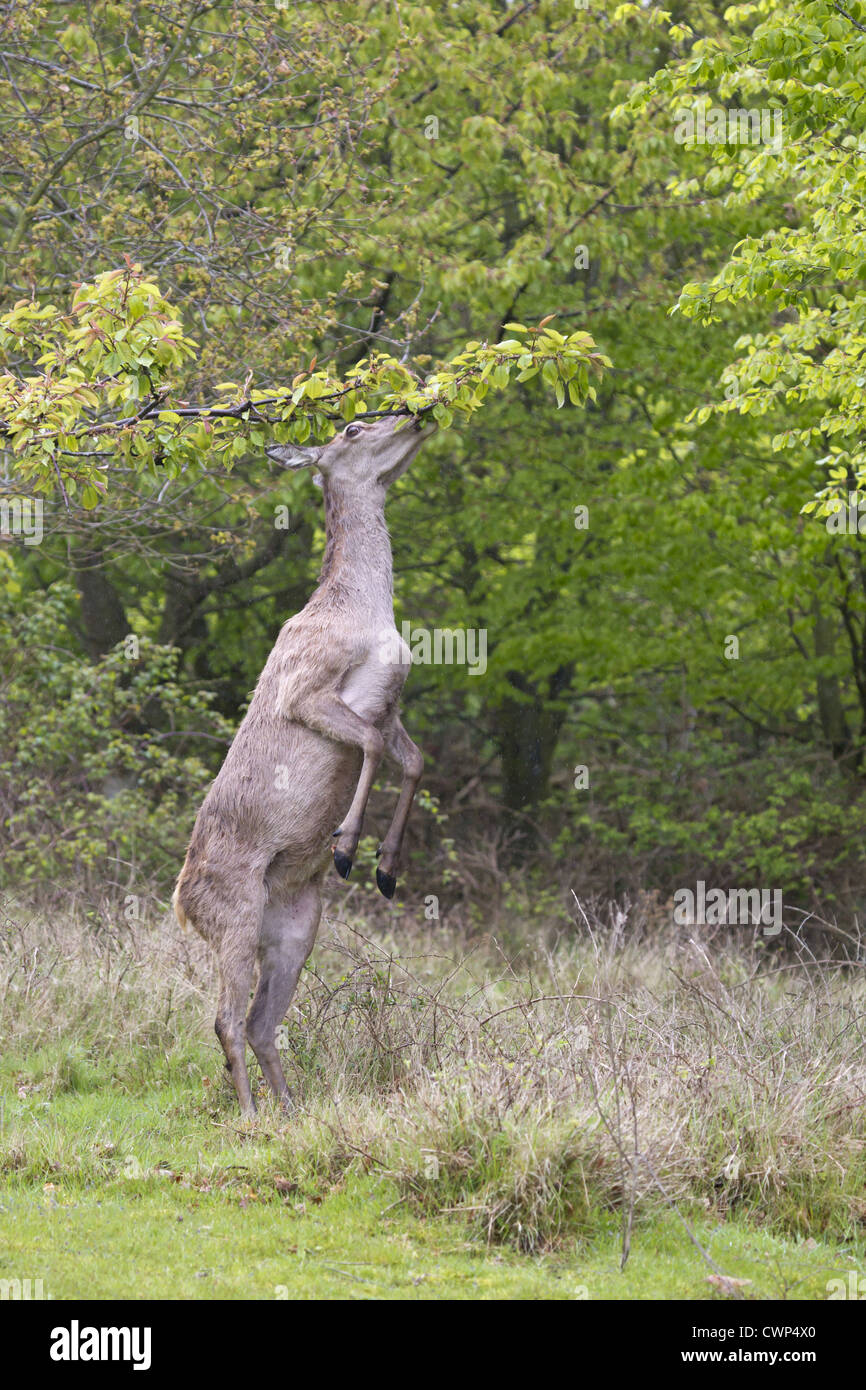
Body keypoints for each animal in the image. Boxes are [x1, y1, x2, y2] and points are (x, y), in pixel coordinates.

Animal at [170, 411, 433, 1117]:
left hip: (295, 927)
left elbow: (415, 760)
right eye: (352, 427)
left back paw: (290, 1108)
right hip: (232, 914)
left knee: (263, 1020)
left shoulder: (393, 703)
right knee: (225, 1019)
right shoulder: (305, 688)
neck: (364, 611)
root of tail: (179, 903)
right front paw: (345, 846)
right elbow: (369, 746)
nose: (416, 412)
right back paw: (251, 1116)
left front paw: (388, 868)